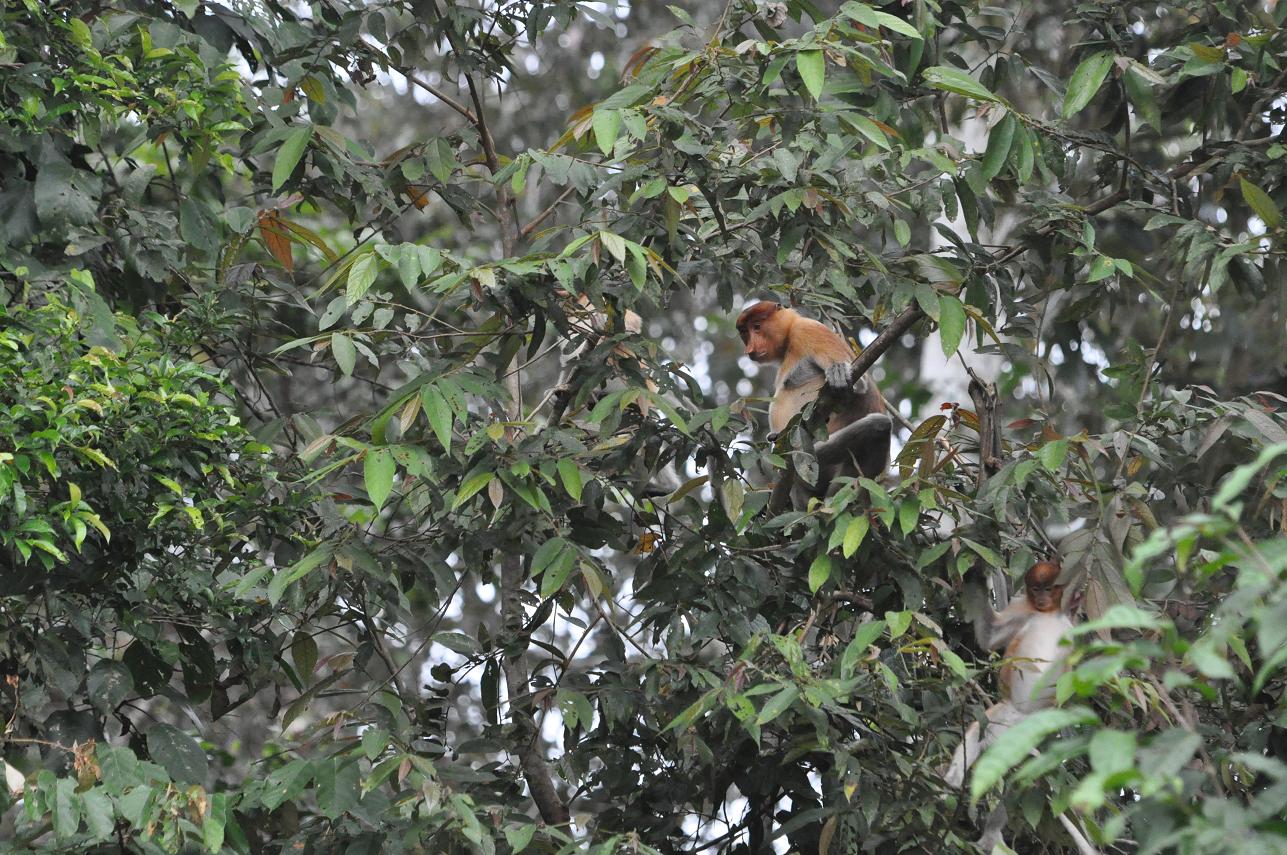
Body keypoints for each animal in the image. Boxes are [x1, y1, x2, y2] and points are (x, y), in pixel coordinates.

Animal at [741, 302, 890, 497]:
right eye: (745, 332)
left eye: (757, 326)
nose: (749, 350)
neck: (790, 335)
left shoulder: (809, 330)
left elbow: (860, 387)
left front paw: (838, 372)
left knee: (880, 424)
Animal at [947, 561, 1075, 788]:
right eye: (1035, 589)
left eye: (1048, 589)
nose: (1041, 598)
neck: (1047, 613)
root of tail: (1022, 713)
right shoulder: (1021, 608)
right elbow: (990, 637)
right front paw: (978, 576)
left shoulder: (1069, 629)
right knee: (978, 731)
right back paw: (950, 783)